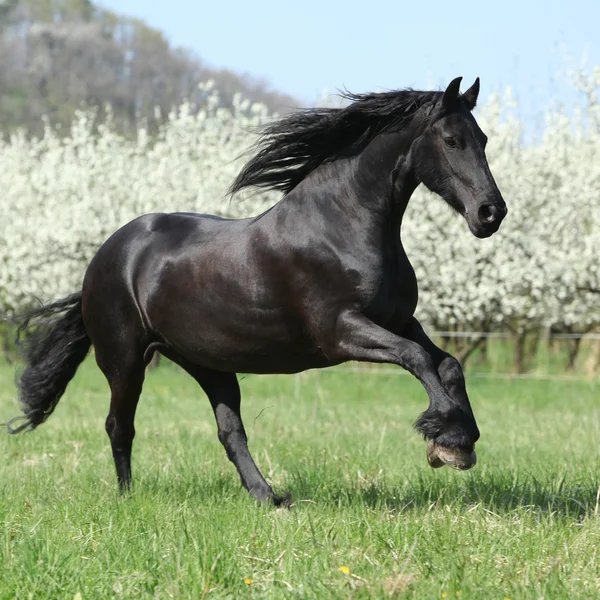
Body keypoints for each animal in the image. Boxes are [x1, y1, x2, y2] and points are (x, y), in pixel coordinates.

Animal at [7, 77, 504, 504]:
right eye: (452, 140)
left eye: (482, 139)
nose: (490, 213)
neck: (342, 224)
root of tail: (104, 257)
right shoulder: (341, 331)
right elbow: (417, 359)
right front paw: (447, 440)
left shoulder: (399, 320)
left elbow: (448, 364)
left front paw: (461, 441)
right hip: (124, 359)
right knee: (119, 425)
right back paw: (128, 497)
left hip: (208, 364)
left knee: (230, 432)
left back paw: (269, 497)